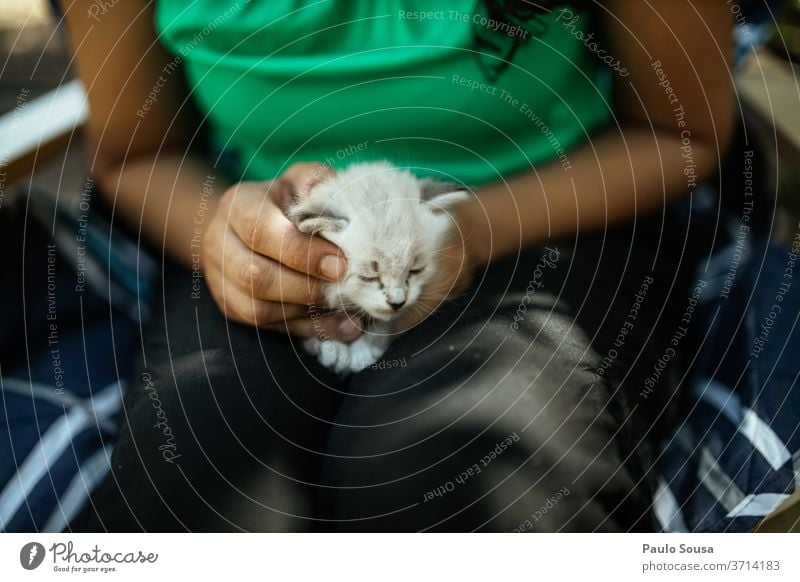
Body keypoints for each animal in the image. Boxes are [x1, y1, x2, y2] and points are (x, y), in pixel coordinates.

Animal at [288, 162, 468, 376]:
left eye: (416, 270)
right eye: (369, 277)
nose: (397, 303)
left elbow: (385, 324)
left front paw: (362, 351)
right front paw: (329, 347)